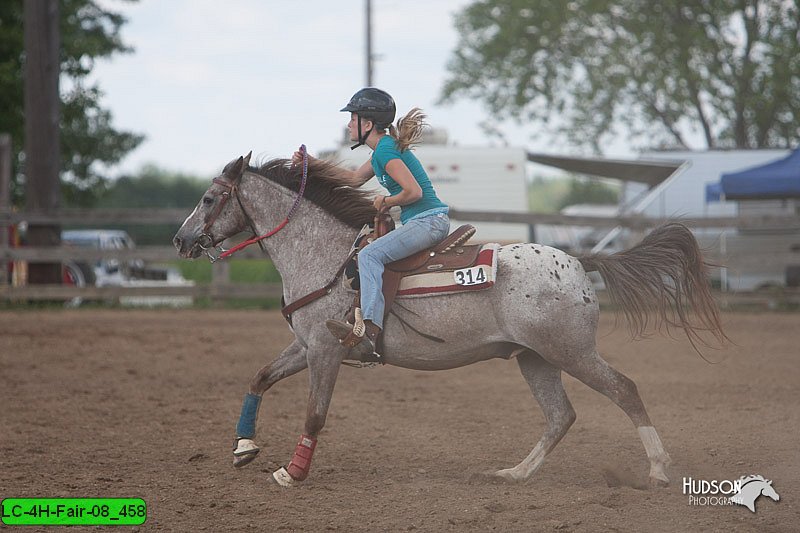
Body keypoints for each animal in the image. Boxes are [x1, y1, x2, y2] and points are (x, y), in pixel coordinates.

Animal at [173, 153, 724, 486]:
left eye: (208, 198)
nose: (180, 240)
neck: (327, 257)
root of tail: (578, 261)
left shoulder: (326, 351)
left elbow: (315, 414)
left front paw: (292, 472)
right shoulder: (306, 346)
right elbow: (260, 377)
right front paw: (244, 448)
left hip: (572, 352)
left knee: (624, 390)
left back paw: (658, 470)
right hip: (535, 358)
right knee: (561, 416)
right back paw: (514, 474)